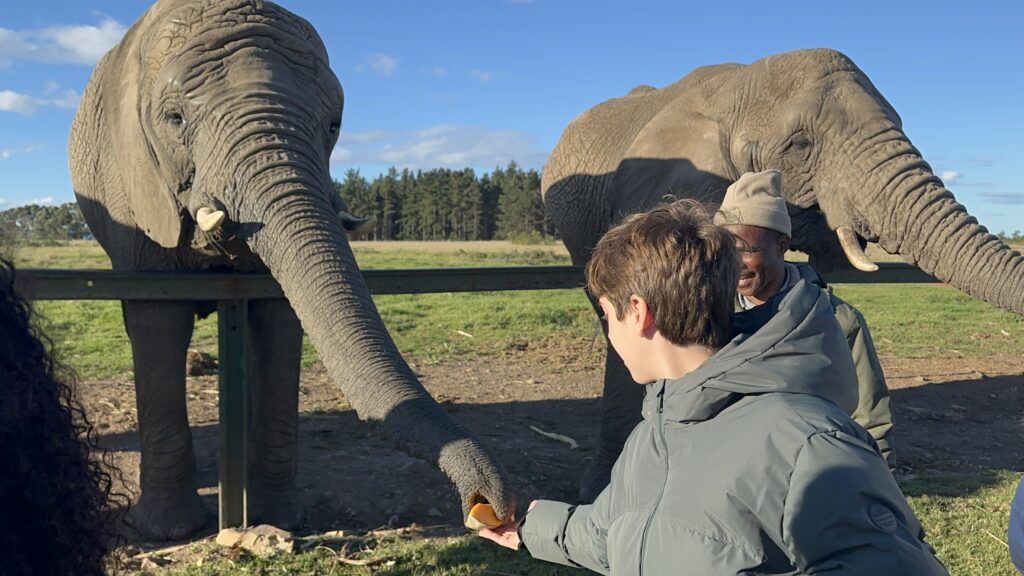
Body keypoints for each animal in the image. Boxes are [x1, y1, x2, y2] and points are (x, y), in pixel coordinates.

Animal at [69, 0, 512, 540]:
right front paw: (169, 532)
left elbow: (280, 318)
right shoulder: (132, 189)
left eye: (334, 124)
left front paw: (279, 518)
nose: (490, 505)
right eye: (174, 119)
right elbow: (159, 320)